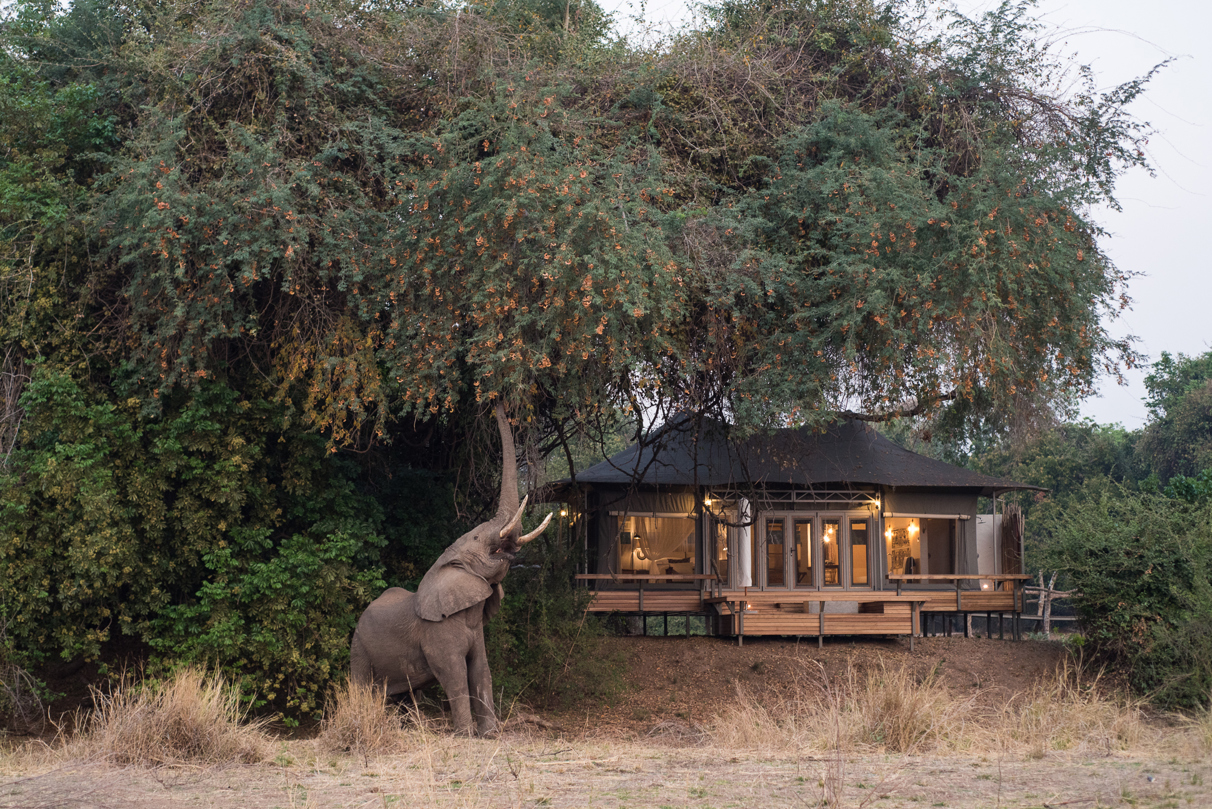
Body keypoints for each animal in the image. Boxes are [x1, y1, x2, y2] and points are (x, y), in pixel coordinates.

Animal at [350, 404, 552, 736]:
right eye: (476, 538)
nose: (494, 404)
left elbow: (481, 670)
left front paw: (490, 735)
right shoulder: (437, 631)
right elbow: (455, 674)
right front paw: (467, 735)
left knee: (405, 694)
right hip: (359, 645)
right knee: (362, 687)